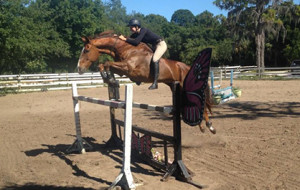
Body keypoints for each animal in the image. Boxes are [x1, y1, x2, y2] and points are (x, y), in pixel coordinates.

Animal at [76, 31, 214, 133]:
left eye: (86, 50)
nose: (79, 69)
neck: (126, 48)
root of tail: (187, 67)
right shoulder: (123, 70)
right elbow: (104, 65)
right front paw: (110, 80)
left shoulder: (129, 69)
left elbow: (106, 63)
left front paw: (110, 79)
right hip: (176, 86)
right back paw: (202, 126)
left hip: (184, 86)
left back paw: (210, 126)